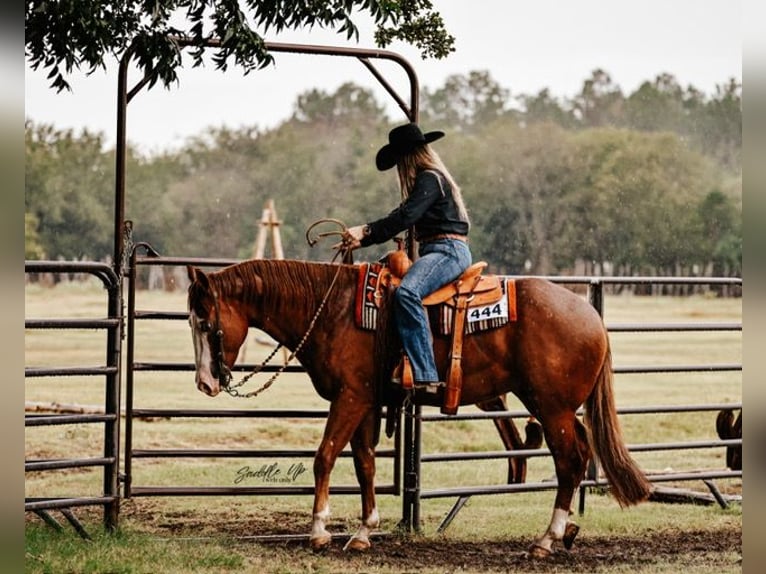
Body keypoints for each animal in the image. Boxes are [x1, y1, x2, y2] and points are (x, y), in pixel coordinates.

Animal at [186, 258, 652, 557]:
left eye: (206, 323)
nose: (205, 383)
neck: (332, 309)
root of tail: (591, 316)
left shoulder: (349, 397)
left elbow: (325, 456)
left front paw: (319, 532)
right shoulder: (367, 401)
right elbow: (365, 463)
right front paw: (363, 531)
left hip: (552, 409)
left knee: (569, 461)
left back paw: (545, 539)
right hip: (561, 410)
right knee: (580, 453)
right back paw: (565, 532)